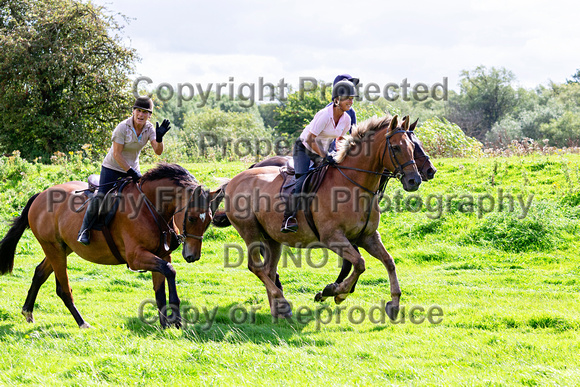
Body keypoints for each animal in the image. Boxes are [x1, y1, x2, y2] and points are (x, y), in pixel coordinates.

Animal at [0, 162, 223, 328]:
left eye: (208, 220)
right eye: (191, 218)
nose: (193, 256)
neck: (150, 206)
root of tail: (40, 195)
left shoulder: (160, 254)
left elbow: (161, 288)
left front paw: (165, 323)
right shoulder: (136, 258)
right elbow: (170, 271)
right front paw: (175, 319)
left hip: (62, 248)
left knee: (39, 273)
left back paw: (28, 312)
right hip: (54, 249)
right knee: (63, 288)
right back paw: (82, 323)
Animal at [215, 114, 420, 318]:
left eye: (413, 147)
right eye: (396, 147)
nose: (414, 180)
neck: (354, 186)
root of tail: (232, 181)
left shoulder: (368, 237)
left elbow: (389, 262)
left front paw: (394, 303)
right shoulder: (333, 238)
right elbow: (359, 263)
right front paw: (335, 292)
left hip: (272, 238)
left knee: (269, 270)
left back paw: (278, 311)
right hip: (250, 231)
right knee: (255, 267)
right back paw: (281, 300)